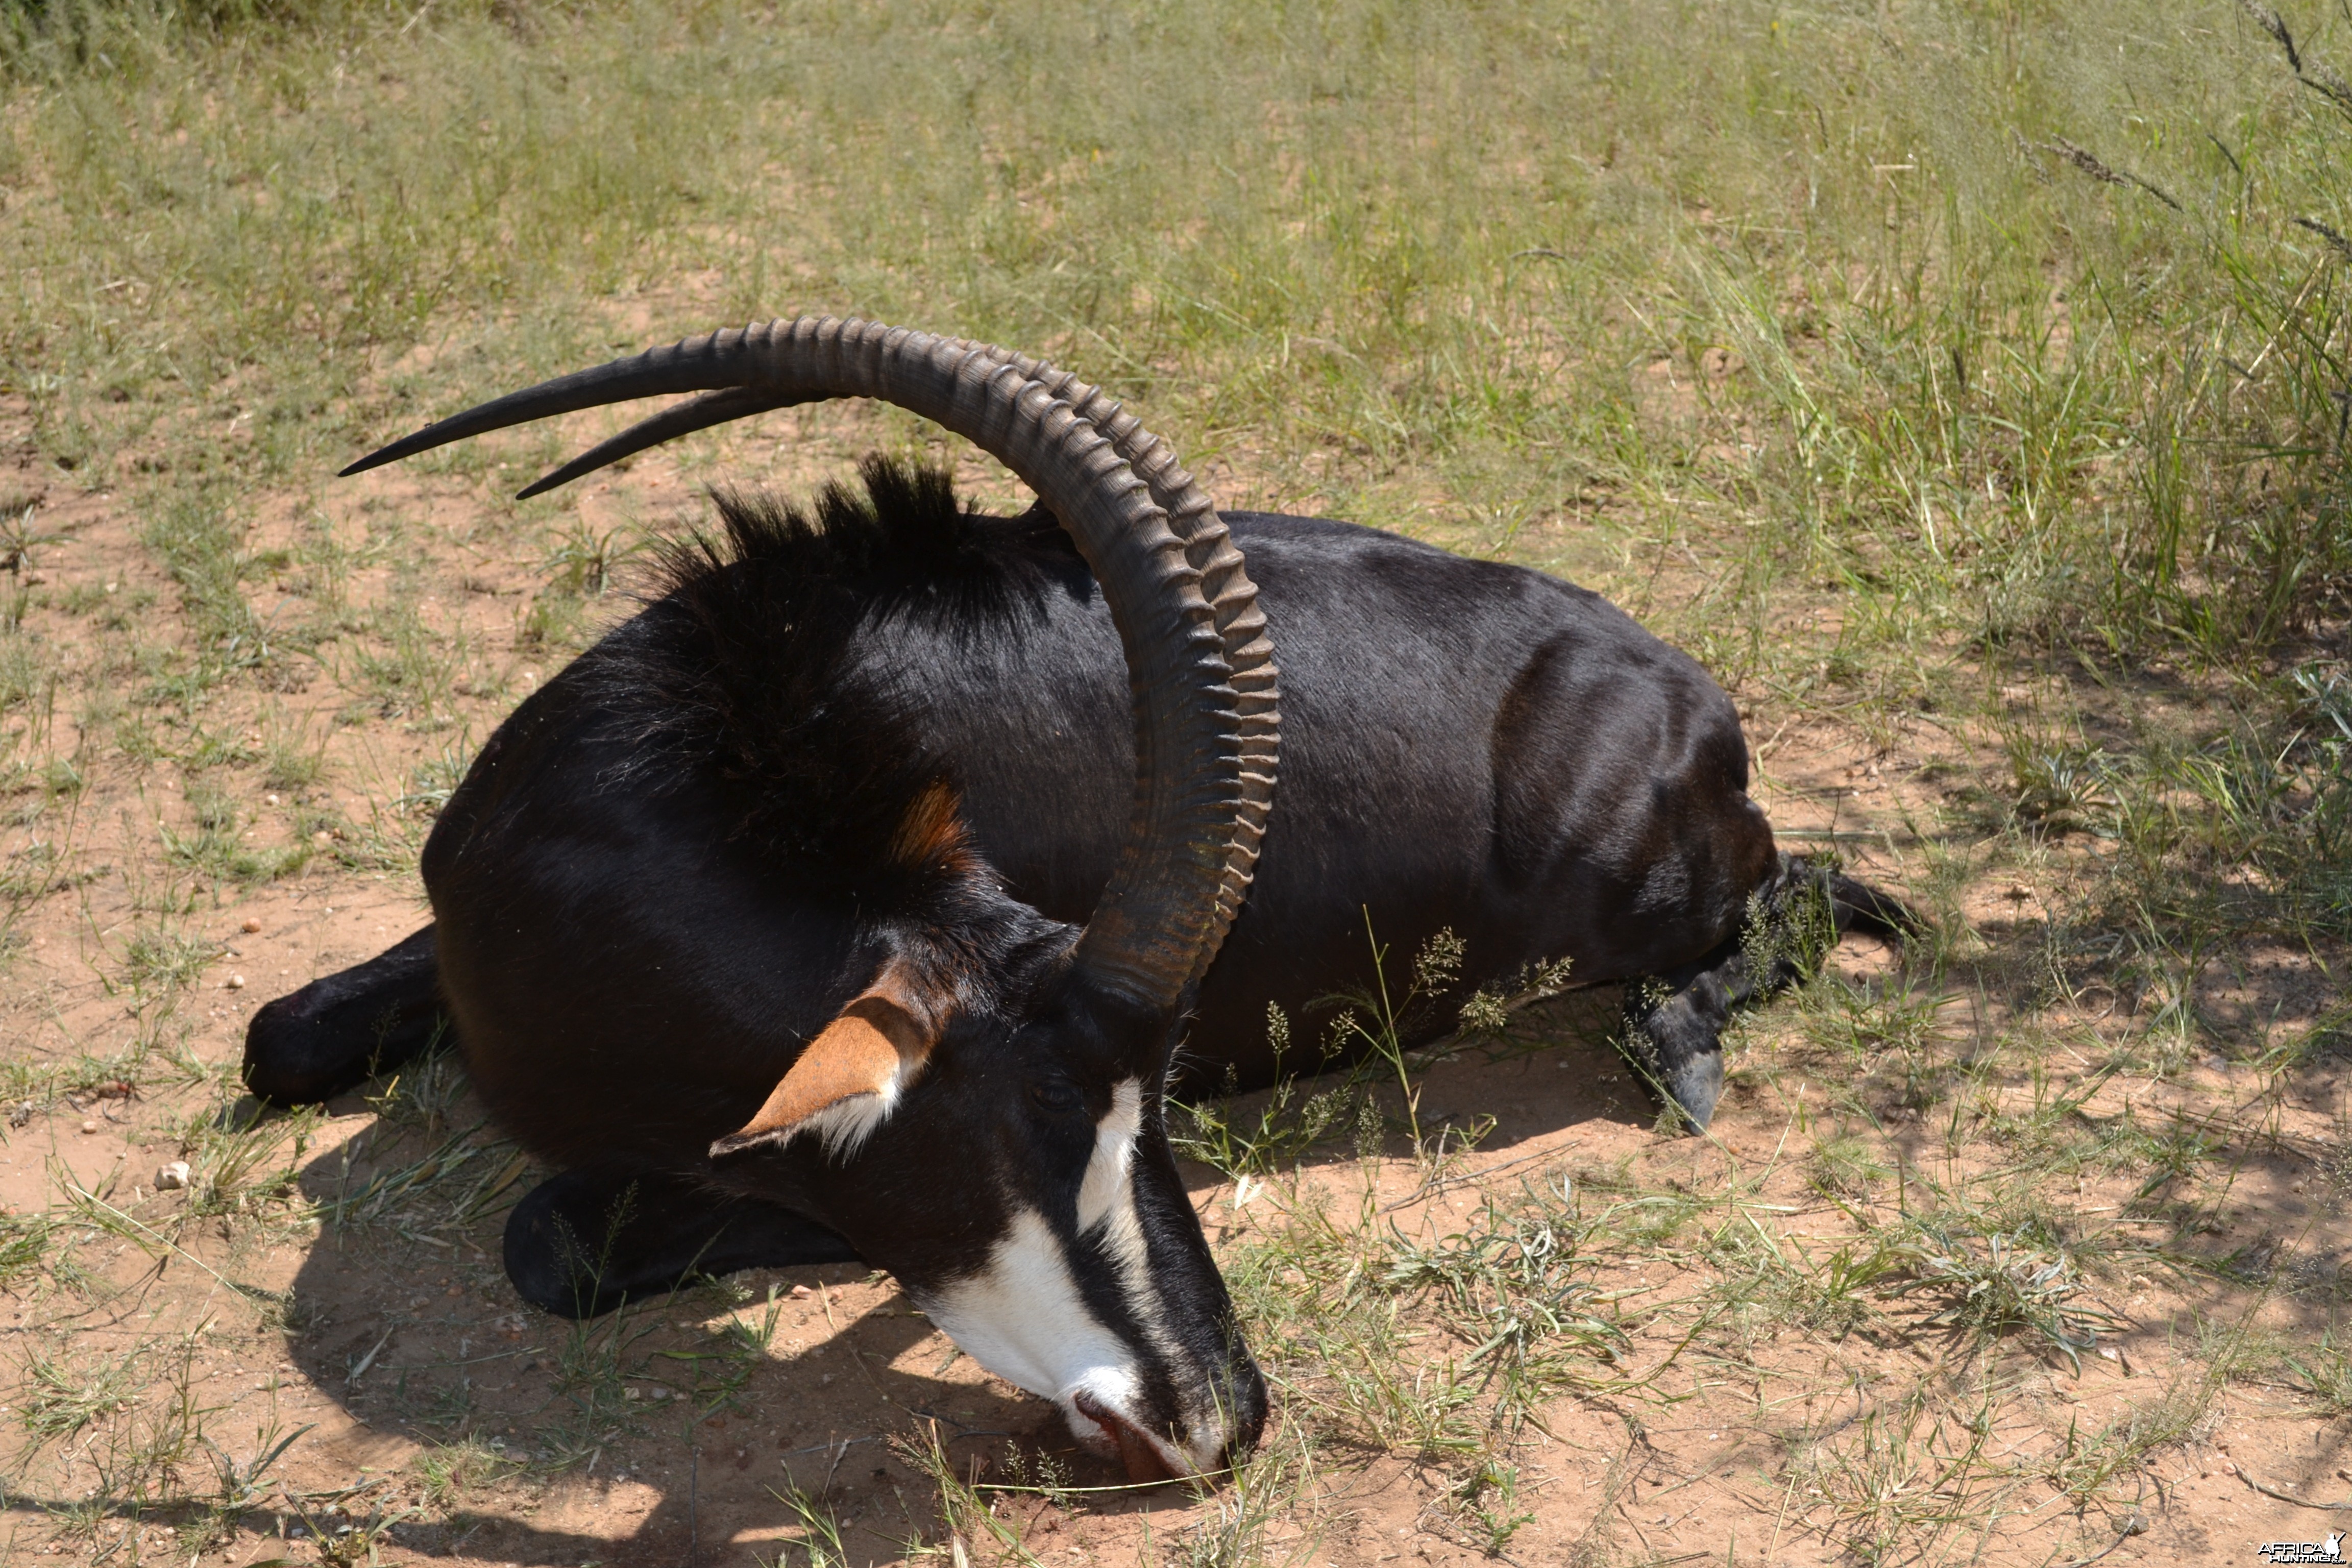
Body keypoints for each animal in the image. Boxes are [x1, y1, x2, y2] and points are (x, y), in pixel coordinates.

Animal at [248, 315, 1900, 1485]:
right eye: (1023, 1129)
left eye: (1158, 1106)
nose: (1219, 1417)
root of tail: (1690, 697)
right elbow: (279, 1036)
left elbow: (559, 1233)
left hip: (1637, 900)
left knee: (1812, 893)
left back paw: (1679, 1048)